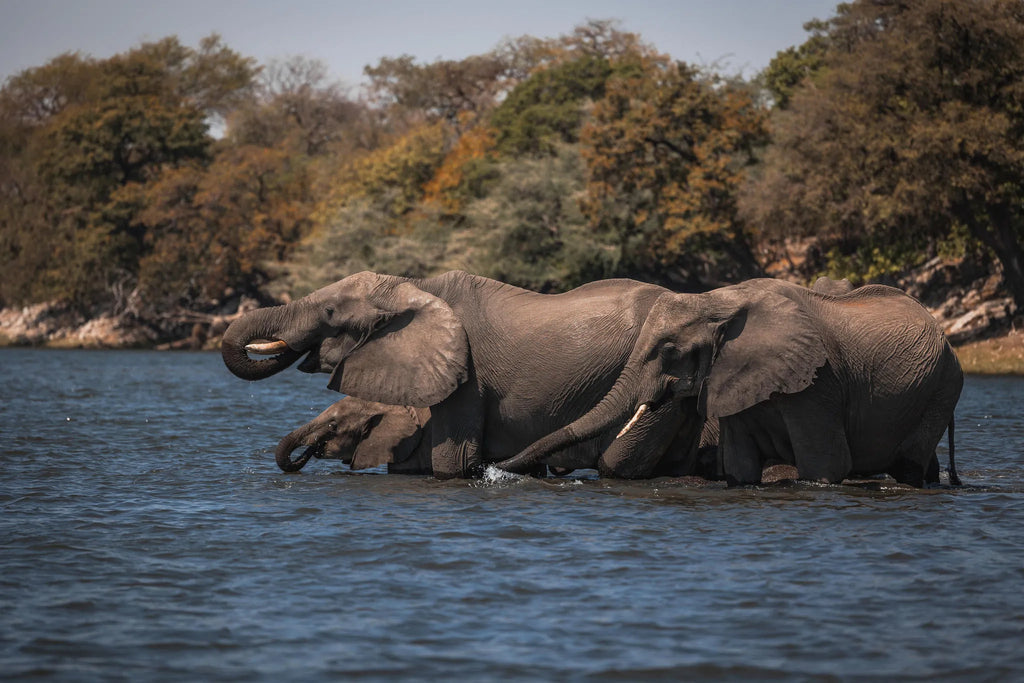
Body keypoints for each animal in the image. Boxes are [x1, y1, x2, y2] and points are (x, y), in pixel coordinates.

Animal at [495, 278, 963, 487]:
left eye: (668, 350)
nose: (493, 469)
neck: (719, 300)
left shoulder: (819, 382)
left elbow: (826, 467)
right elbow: (739, 469)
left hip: (940, 388)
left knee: (909, 465)